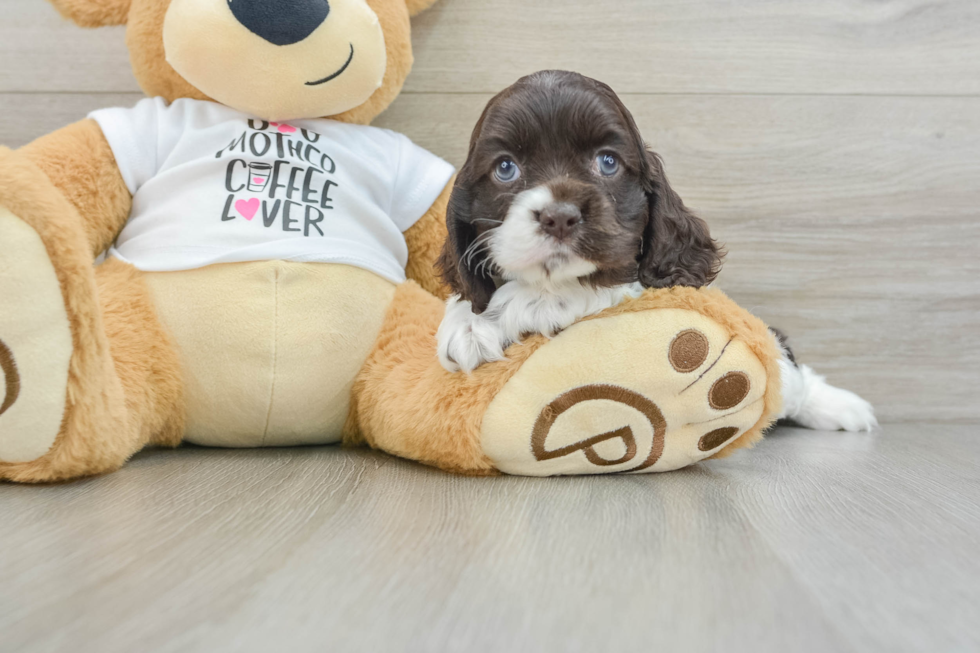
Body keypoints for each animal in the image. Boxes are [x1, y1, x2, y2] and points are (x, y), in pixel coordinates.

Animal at [436, 70, 872, 428]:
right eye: (505, 168)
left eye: (608, 162)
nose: (559, 217)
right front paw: (467, 322)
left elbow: (593, 288)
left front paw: (515, 306)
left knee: (790, 376)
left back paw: (843, 408)